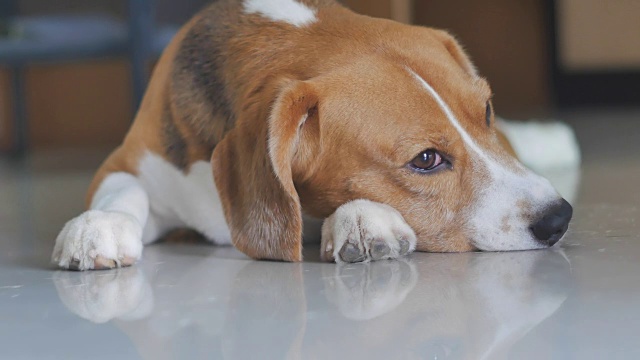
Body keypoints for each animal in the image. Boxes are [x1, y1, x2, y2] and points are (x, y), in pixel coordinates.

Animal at [53, 0, 576, 270]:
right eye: (426, 160)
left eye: (485, 110)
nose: (559, 217)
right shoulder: (131, 160)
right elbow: (123, 191)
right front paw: (96, 227)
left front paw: (363, 219)